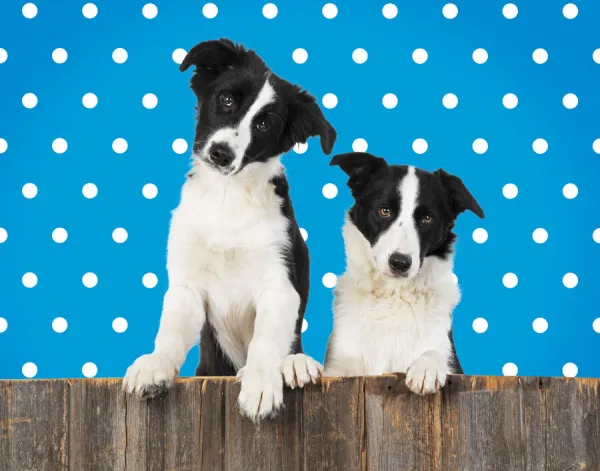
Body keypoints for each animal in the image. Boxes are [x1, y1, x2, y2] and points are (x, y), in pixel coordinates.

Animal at [123, 37, 336, 420]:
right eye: (226, 99)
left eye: (265, 124)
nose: (221, 153)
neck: (228, 196)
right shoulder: (187, 286)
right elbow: (170, 333)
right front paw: (154, 365)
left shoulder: (279, 285)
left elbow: (265, 341)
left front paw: (261, 383)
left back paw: (296, 364)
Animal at [324, 152, 482, 394]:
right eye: (384, 210)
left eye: (427, 218)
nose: (400, 263)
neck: (393, 295)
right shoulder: (336, 370)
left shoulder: (451, 361)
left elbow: (434, 352)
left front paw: (426, 367)